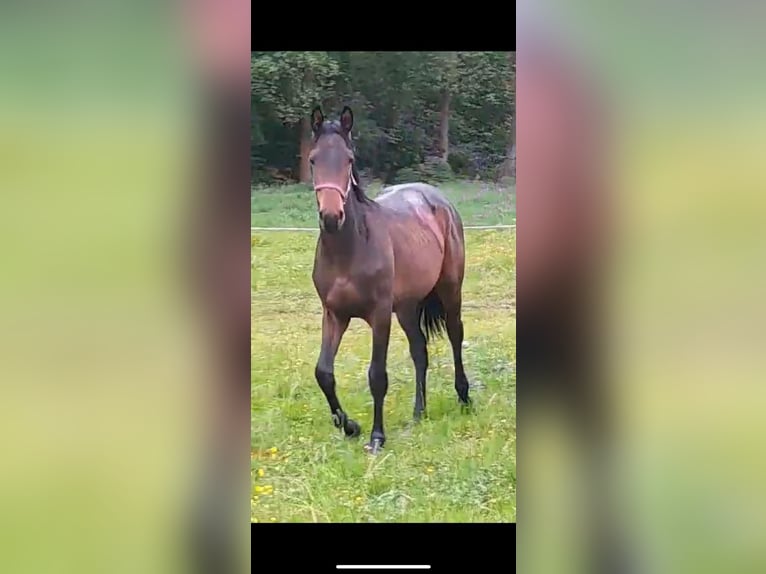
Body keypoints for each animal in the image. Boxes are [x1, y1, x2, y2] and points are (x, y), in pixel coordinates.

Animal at [308, 106, 472, 456]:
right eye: (313, 159)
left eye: (349, 160)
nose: (331, 217)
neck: (350, 250)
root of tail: (439, 199)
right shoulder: (334, 315)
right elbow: (324, 373)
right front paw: (350, 427)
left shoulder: (379, 315)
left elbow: (377, 375)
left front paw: (376, 437)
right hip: (407, 308)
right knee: (420, 350)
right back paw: (419, 413)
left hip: (450, 290)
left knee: (455, 334)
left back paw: (464, 398)